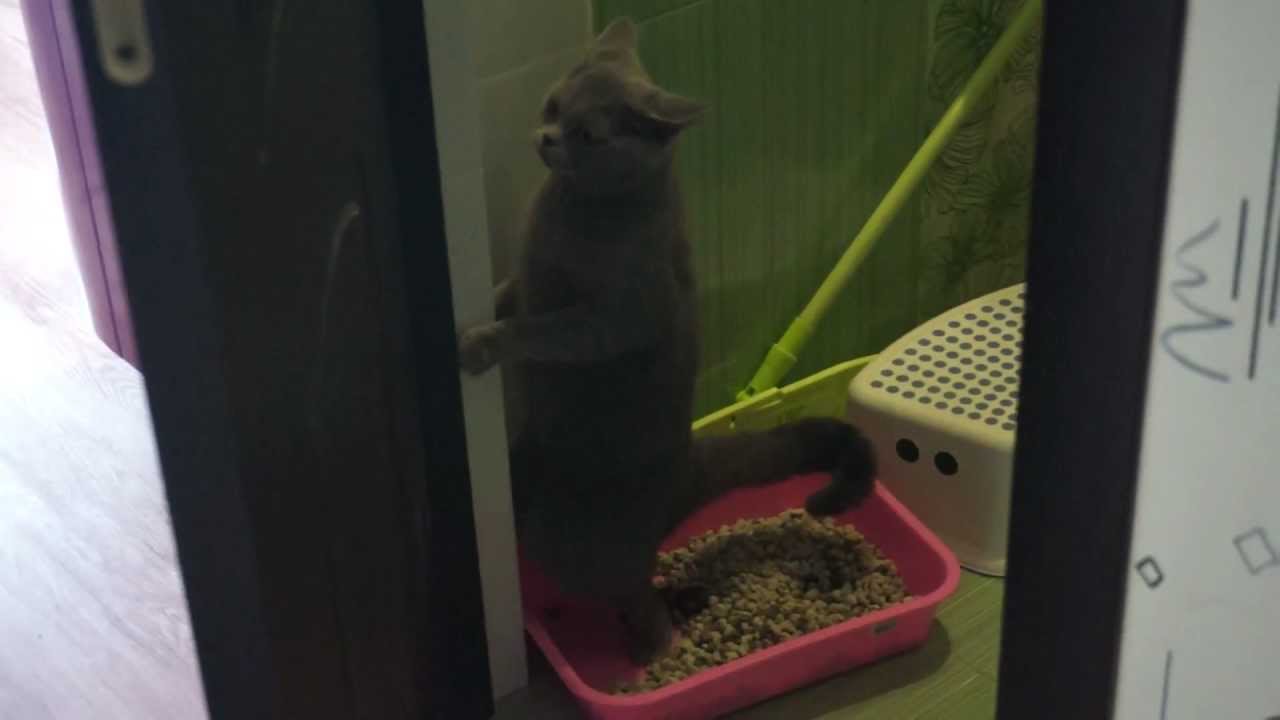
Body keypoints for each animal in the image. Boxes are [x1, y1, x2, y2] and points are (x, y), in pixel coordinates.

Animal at [457, 17, 877, 663]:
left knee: (636, 593)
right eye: (553, 105)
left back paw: (653, 656)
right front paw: (487, 311)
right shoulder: (528, 279)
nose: (546, 138)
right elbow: (510, 294)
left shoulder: (610, 317)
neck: (567, 207)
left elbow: (539, 328)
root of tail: (688, 463)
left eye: (588, 134)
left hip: (570, 541)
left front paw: (480, 343)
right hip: (527, 471)